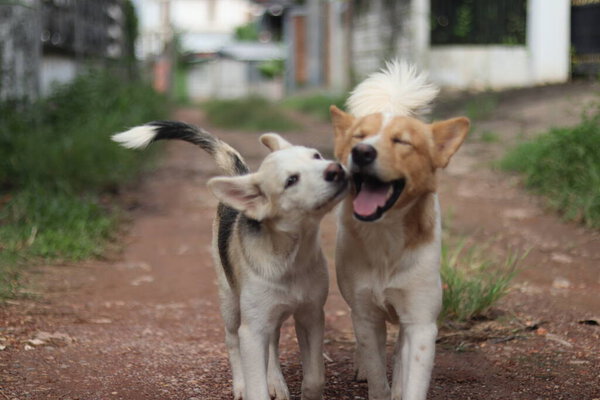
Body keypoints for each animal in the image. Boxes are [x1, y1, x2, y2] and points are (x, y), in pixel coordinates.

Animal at [113, 122, 350, 400]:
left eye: (317, 156)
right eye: (291, 180)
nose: (335, 169)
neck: (290, 256)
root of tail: (245, 176)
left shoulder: (311, 315)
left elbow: (314, 378)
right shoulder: (252, 330)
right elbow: (256, 387)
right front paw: (252, 387)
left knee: (272, 340)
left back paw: (276, 382)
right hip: (230, 302)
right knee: (232, 340)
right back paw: (240, 385)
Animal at [328, 61, 468, 398]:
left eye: (402, 141)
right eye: (358, 136)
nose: (362, 151)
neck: (385, 238)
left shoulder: (420, 322)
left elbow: (410, 379)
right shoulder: (366, 314)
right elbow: (378, 376)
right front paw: (374, 378)